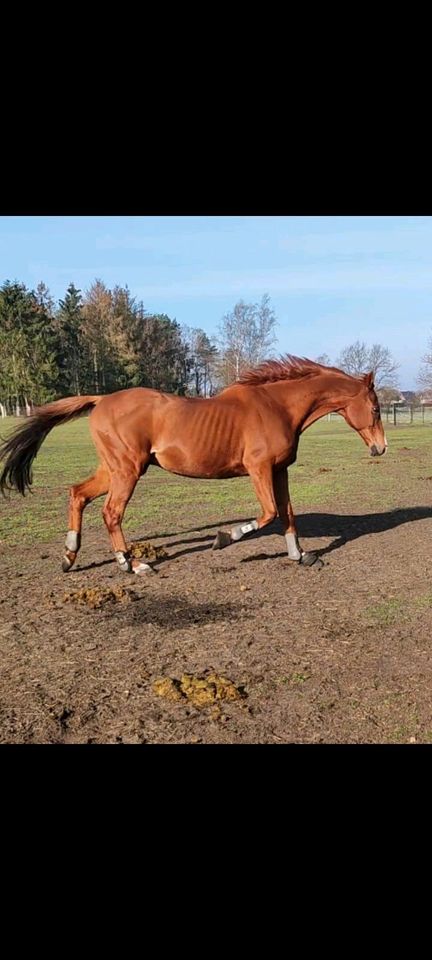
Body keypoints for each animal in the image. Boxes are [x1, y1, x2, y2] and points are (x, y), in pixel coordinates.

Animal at [0, 358, 384, 568]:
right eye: (377, 408)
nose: (380, 448)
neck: (277, 406)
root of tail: (101, 400)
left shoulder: (279, 470)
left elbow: (288, 514)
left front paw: (300, 556)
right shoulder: (258, 469)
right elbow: (269, 513)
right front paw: (224, 538)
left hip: (113, 469)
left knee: (78, 494)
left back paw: (69, 556)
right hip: (127, 470)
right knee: (111, 513)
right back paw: (130, 564)